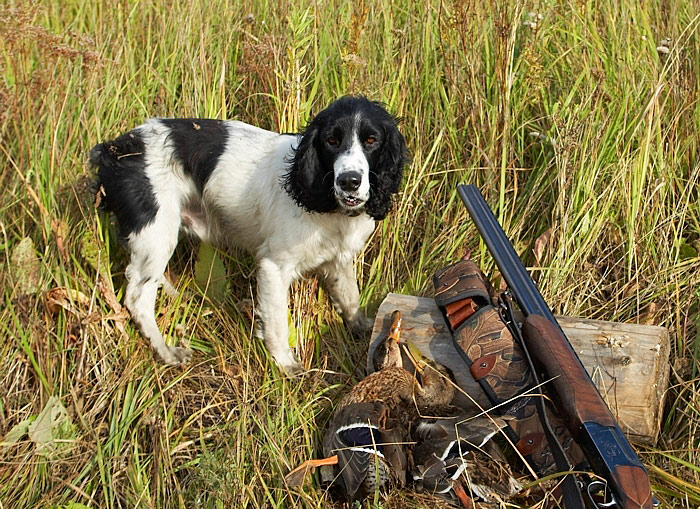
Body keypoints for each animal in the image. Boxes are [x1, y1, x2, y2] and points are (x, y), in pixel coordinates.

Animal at [91, 96, 410, 374]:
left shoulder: (338, 259)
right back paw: (166, 351)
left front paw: (366, 328)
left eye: (371, 140)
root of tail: (115, 150)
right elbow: (276, 321)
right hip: (157, 233)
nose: (349, 181)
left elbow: (350, 298)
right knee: (137, 298)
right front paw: (285, 364)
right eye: (331, 141)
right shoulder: (273, 267)